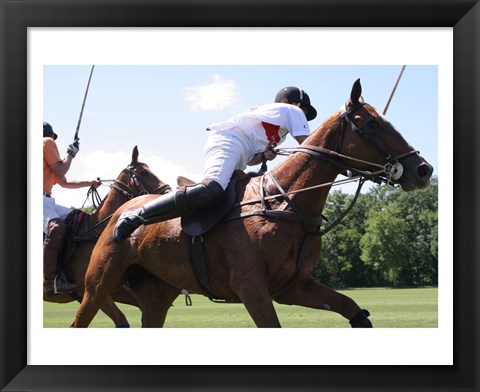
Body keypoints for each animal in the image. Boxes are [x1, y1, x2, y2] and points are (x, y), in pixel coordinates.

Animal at [43, 145, 171, 326]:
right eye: (144, 173)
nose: (169, 192)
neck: (96, 231)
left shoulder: (111, 289)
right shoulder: (91, 290)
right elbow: (120, 319)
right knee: (56, 227)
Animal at [72, 79, 436, 328]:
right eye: (373, 123)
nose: (423, 170)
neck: (285, 202)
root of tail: (115, 214)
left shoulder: (294, 287)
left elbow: (354, 311)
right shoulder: (252, 289)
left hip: (156, 296)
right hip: (97, 286)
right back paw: (128, 223)